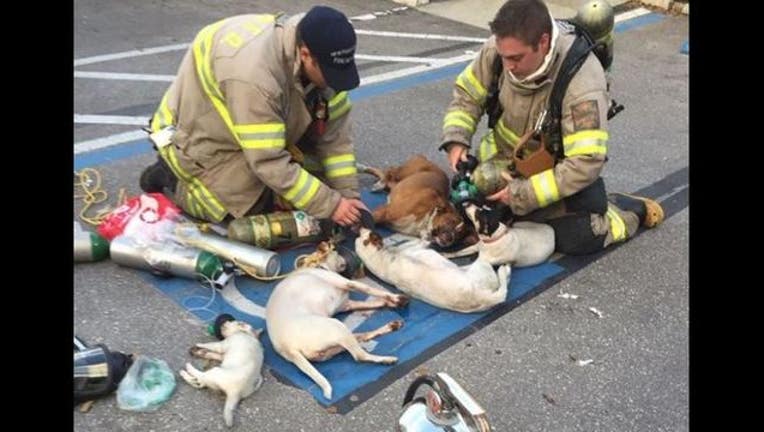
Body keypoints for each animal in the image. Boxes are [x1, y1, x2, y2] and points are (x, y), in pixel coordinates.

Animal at [268, 245, 412, 400]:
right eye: (335, 252)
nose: (343, 253)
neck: (321, 267)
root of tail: (287, 348)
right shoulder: (349, 283)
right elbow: (371, 289)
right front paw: (396, 298)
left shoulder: (347, 305)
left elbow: (372, 302)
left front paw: (389, 302)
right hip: (337, 327)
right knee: (359, 356)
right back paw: (386, 358)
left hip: (335, 338)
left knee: (360, 338)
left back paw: (391, 327)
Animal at [356, 226, 510, 314]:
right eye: (368, 234)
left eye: (361, 234)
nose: (359, 227)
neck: (380, 259)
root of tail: (482, 298)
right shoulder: (417, 248)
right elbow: (422, 241)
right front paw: (427, 234)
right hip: (482, 266)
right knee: (502, 287)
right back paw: (504, 270)